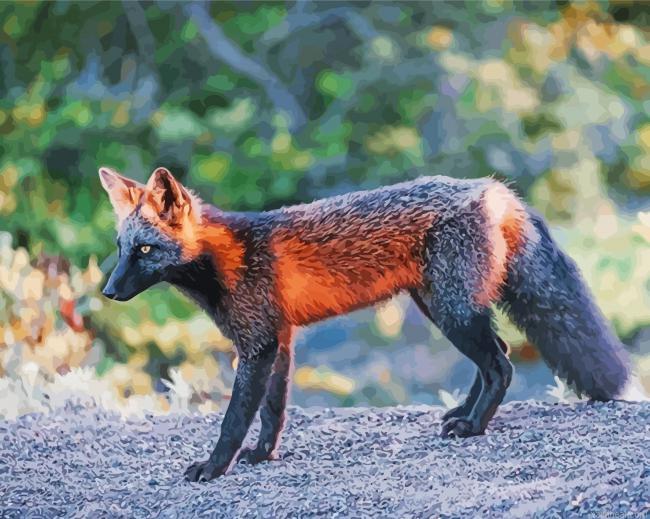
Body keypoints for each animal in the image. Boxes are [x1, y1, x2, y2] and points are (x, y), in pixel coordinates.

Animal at [99, 166, 631, 482]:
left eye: (145, 250)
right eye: (122, 248)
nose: (107, 291)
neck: (229, 260)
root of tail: (493, 188)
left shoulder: (256, 345)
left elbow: (234, 420)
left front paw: (213, 467)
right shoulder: (280, 339)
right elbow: (273, 412)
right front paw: (264, 456)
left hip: (453, 312)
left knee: (501, 365)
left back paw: (474, 426)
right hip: (442, 307)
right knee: (494, 357)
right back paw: (463, 412)